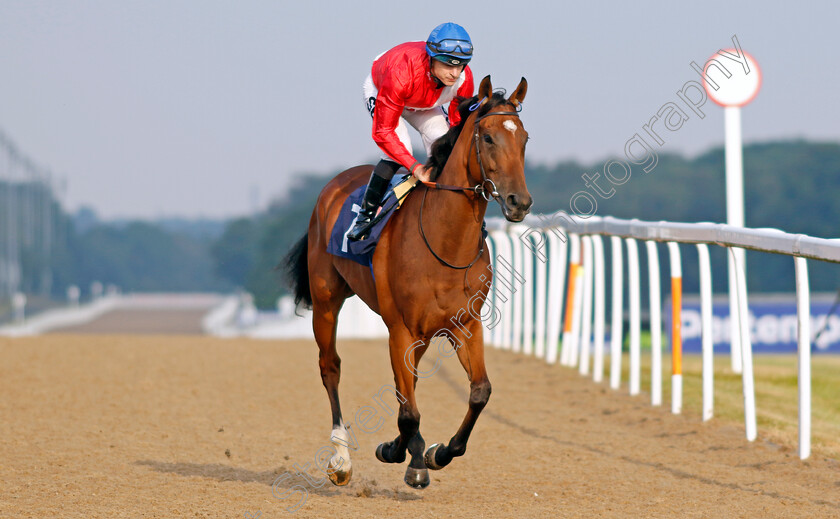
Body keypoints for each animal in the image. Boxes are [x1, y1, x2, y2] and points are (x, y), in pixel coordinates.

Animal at [282, 75, 532, 490]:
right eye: (488, 137)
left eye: (525, 138)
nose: (519, 202)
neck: (445, 241)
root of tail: (333, 186)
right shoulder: (400, 326)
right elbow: (408, 405)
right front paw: (414, 462)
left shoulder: (465, 325)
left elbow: (478, 392)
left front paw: (435, 451)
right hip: (327, 300)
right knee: (330, 366)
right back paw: (341, 458)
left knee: (406, 384)